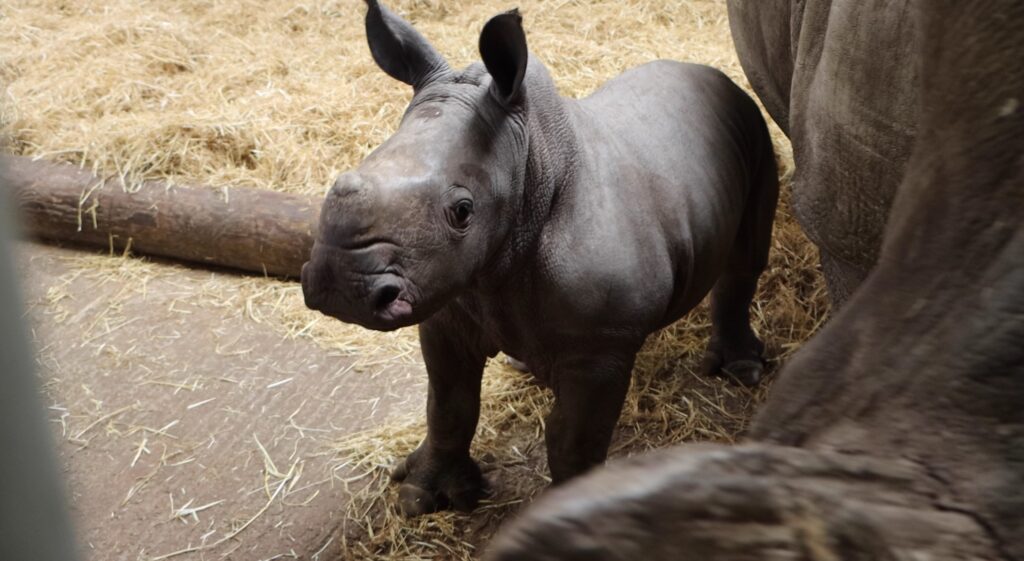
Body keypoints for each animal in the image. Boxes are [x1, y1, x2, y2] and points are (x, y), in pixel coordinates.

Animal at [301, 0, 778, 516]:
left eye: (462, 211)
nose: (340, 286)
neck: (531, 162)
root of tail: (715, 74)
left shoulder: (599, 347)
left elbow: (572, 441)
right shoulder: (447, 304)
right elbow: (448, 404)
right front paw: (420, 495)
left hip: (754, 127)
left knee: (746, 256)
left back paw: (742, 370)